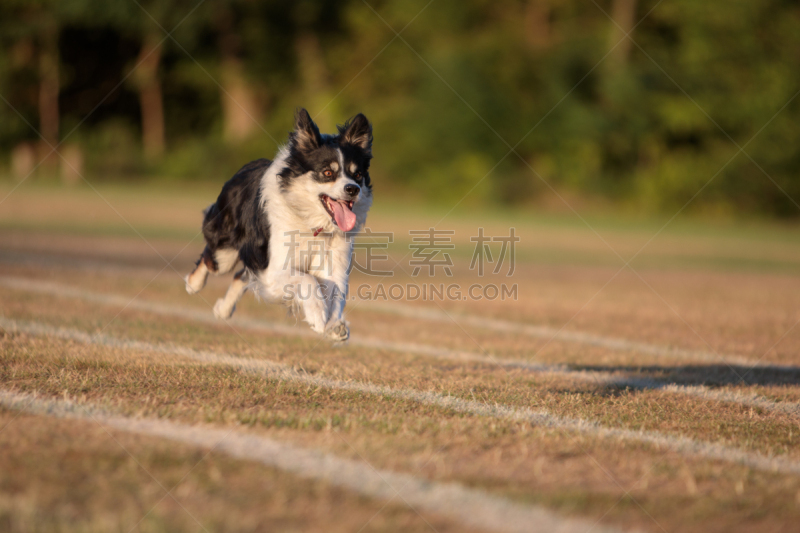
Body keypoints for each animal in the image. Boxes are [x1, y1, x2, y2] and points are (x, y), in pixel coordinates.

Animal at [185, 108, 376, 340]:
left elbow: (337, 293)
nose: (353, 189)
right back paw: (193, 284)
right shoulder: (274, 269)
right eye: (328, 173)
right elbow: (307, 280)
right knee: (212, 259)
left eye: (357, 174)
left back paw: (223, 310)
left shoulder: (334, 265)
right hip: (225, 251)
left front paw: (334, 325)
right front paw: (318, 316)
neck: (315, 225)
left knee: (241, 275)